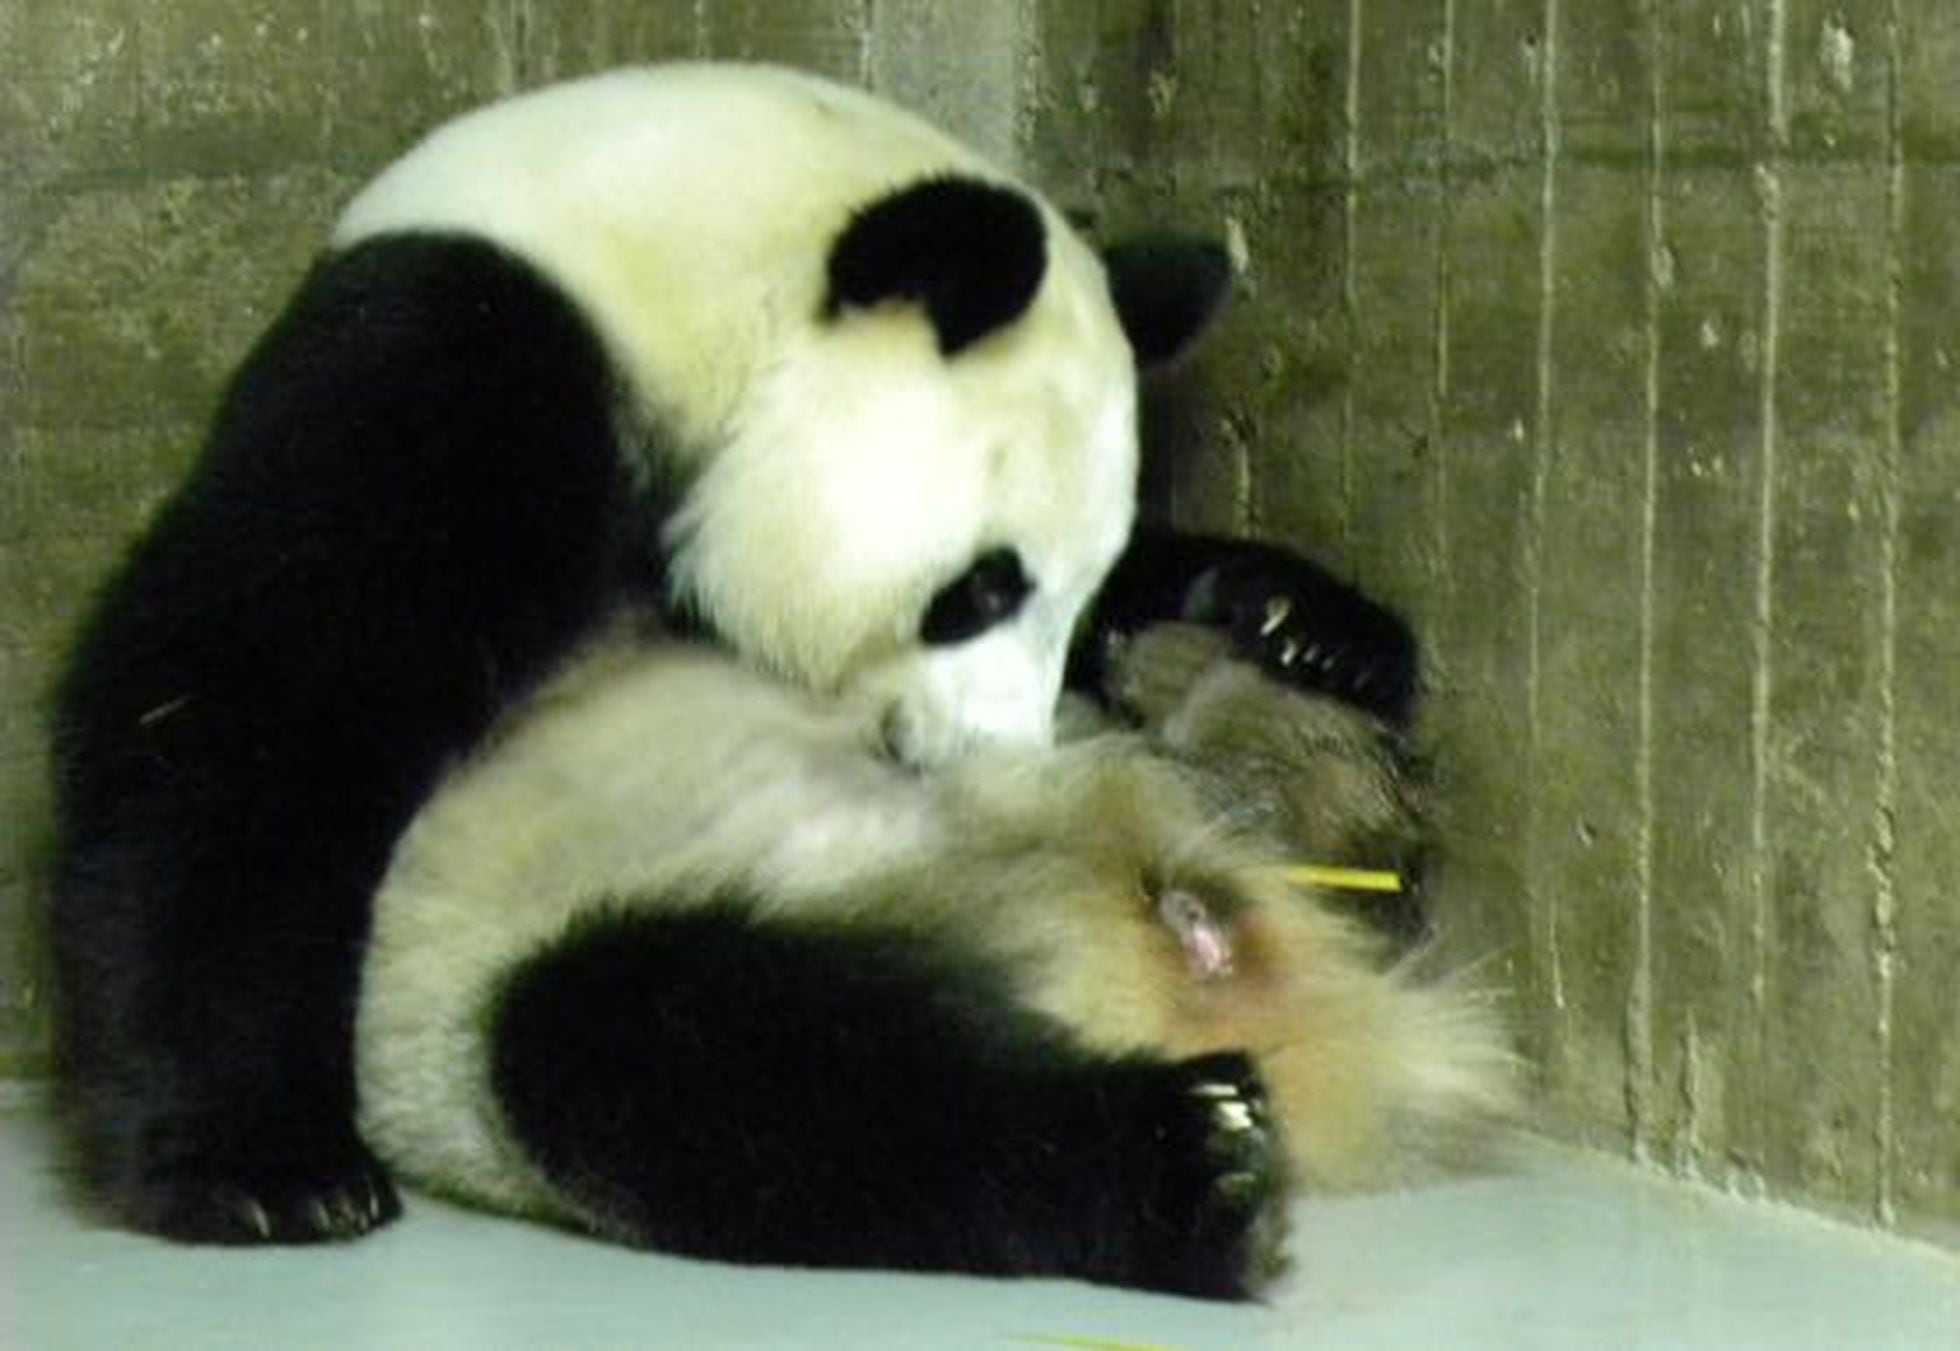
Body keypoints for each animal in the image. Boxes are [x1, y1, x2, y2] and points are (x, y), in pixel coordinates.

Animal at [46, 63, 1419, 1262]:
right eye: (980, 587)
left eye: (1074, 592)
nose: (999, 755)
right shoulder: (469, 359)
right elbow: (246, 697)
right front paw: (263, 1170)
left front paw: (1302, 617)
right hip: (493, 985)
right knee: (717, 1063)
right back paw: (1187, 1152)